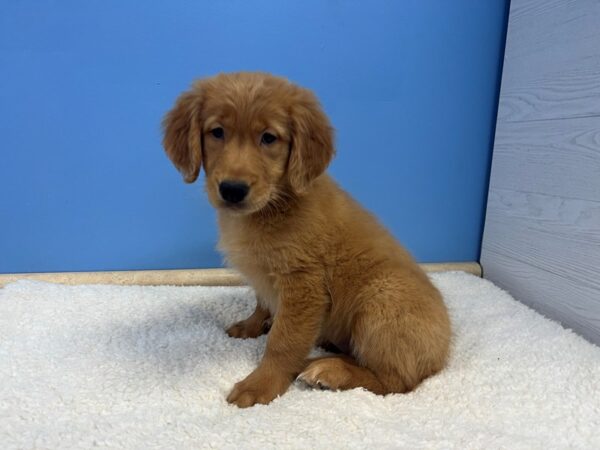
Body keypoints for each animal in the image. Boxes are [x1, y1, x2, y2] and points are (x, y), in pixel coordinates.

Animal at [163, 73, 450, 408]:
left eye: (269, 138)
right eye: (217, 132)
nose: (233, 189)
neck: (275, 203)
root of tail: (443, 352)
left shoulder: (303, 285)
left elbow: (282, 341)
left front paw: (262, 383)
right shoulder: (269, 278)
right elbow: (262, 302)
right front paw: (251, 325)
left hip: (382, 301)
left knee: (395, 381)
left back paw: (328, 370)